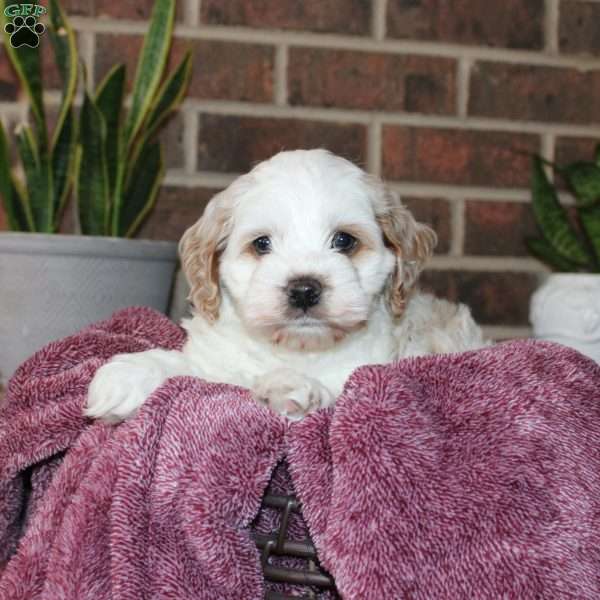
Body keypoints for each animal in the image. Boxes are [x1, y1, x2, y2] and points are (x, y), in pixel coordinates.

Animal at [84, 150, 488, 422]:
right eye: (262, 244)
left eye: (344, 241)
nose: (304, 289)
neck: (292, 348)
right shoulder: (217, 364)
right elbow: (187, 366)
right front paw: (126, 375)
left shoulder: (366, 374)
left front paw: (289, 387)